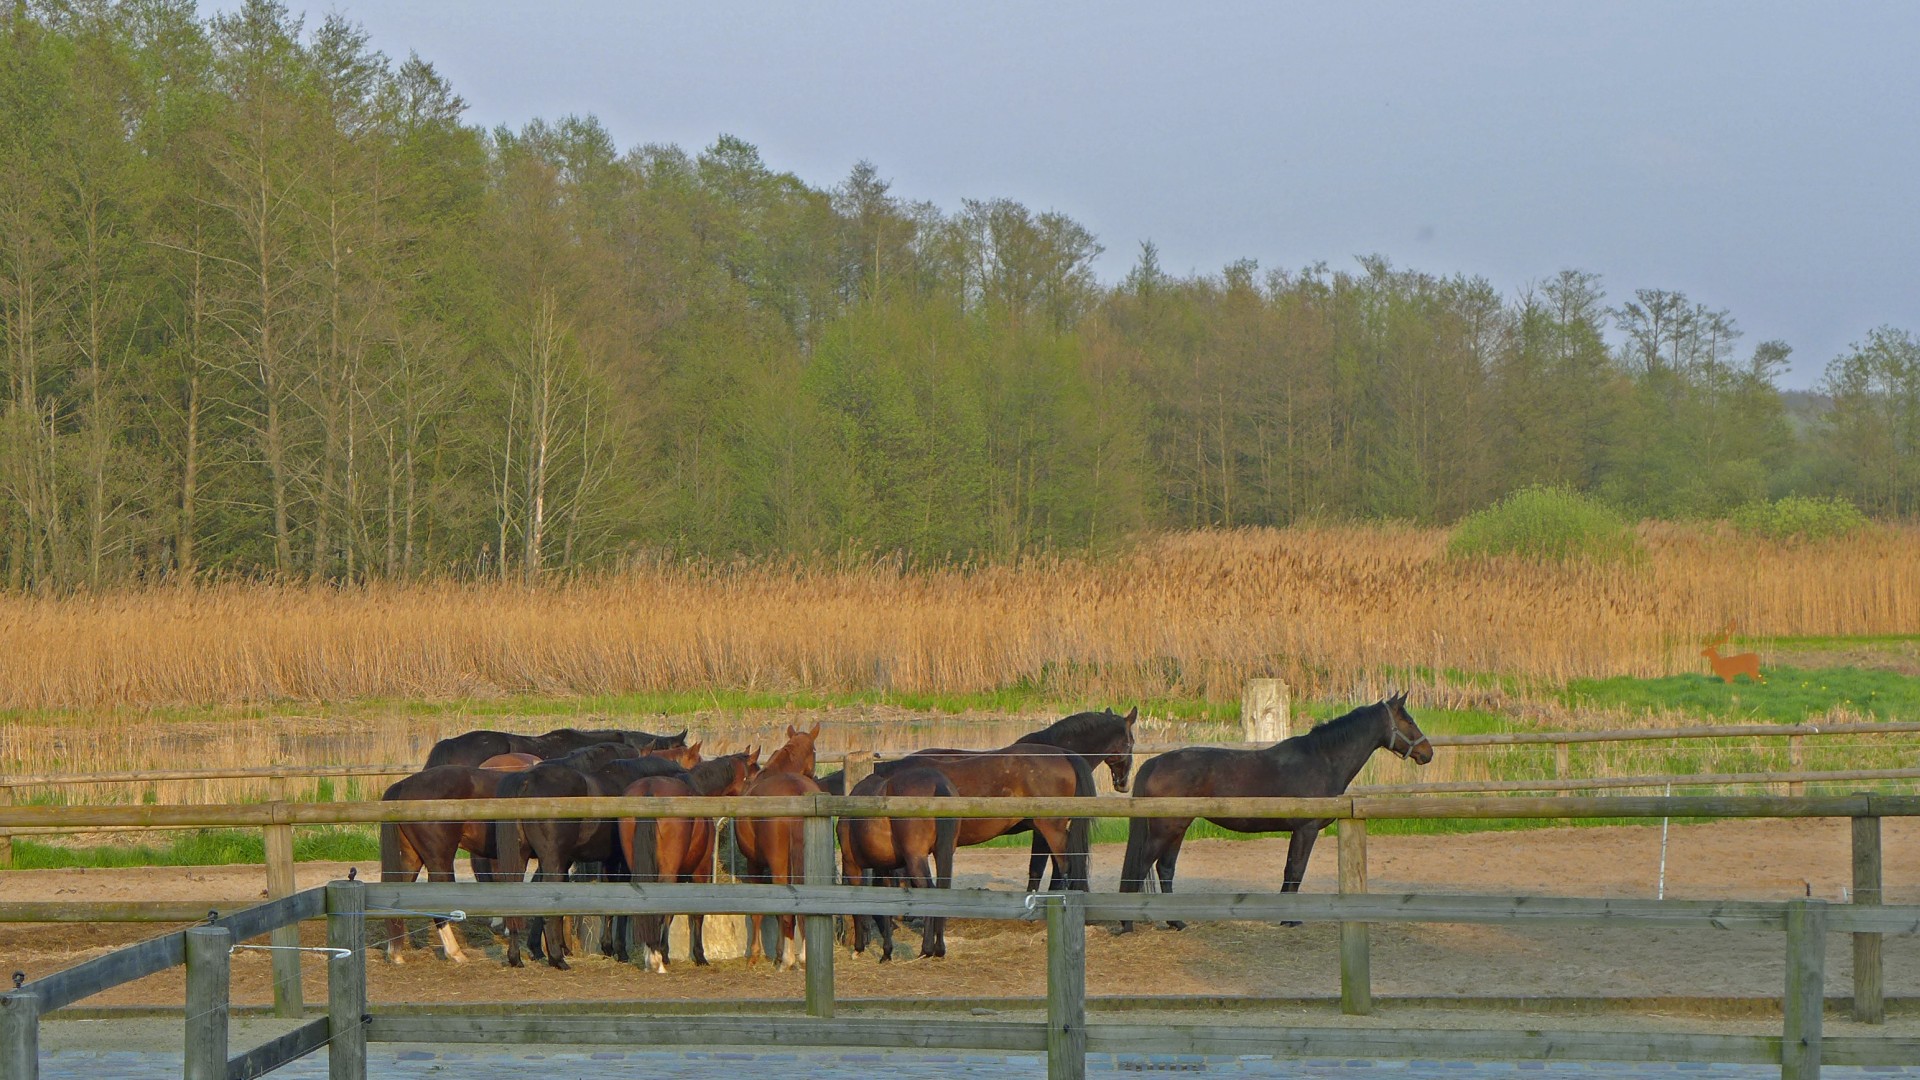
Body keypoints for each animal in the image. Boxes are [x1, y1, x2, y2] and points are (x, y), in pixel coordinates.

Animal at [618, 749, 760, 968]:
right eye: (754, 776)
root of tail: (649, 791)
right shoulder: (701, 870)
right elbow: (695, 913)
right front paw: (698, 955)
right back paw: (659, 954)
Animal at [733, 722, 825, 968]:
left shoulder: (754, 863)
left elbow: (762, 911)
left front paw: (757, 954)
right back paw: (802, 955)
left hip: (777, 865)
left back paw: (788, 959)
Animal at [840, 764, 960, 957]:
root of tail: (938, 783)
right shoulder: (885, 868)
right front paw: (886, 951)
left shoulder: (852, 866)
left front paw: (859, 948)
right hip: (945, 852)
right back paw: (939, 948)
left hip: (916, 858)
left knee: (929, 890)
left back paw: (926, 949)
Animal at [1113, 691, 1428, 930]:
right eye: (1409, 720)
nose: (1428, 752)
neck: (1322, 760)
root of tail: (1155, 762)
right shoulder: (1306, 829)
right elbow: (1296, 869)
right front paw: (1290, 918)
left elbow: (1289, 869)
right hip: (1165, 828)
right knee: (1141, 867)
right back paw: (1128, 923)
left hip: (1178, 826)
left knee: (1165, 868)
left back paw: (1175, 921)